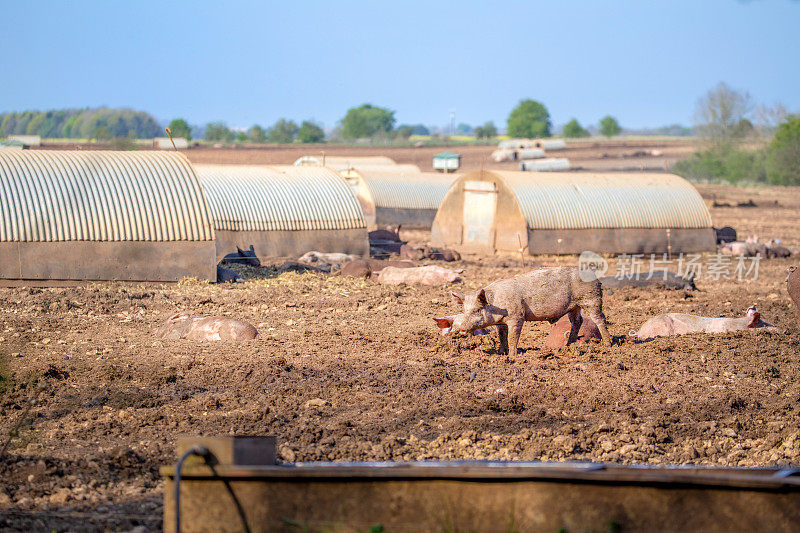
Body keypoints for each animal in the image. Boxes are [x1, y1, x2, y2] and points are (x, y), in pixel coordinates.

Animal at [434, 266, 608, 358]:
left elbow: (512, 337)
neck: (496, 304)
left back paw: (607, 344)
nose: (459, 328)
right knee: (577, 321)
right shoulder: (500, 323)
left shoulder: (517, 317)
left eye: (477, 310)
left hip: (592, 299)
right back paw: (568, 346)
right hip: (574, 306)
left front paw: (512, 356)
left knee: (600, 319)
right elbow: (502, 336)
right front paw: (501, 353)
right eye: (463, 310)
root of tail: (595, 276)